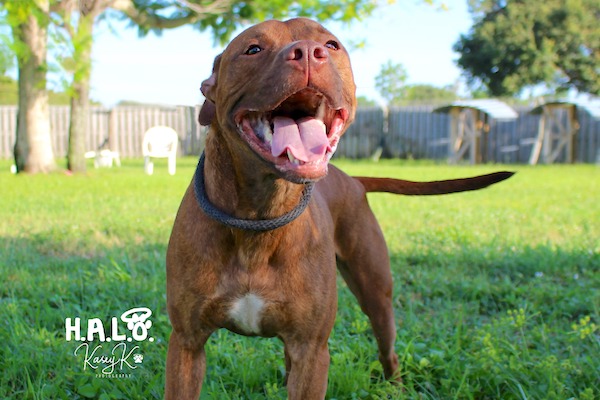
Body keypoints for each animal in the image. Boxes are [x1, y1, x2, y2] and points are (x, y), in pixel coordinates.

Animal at [166, 17, 512, 398]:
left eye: (331, 45)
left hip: (376, 294)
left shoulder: (313, 349)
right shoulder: (187, 344)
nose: (307, 52)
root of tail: (354, 179)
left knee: (387, 349)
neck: (259, 217)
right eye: (253, 49)